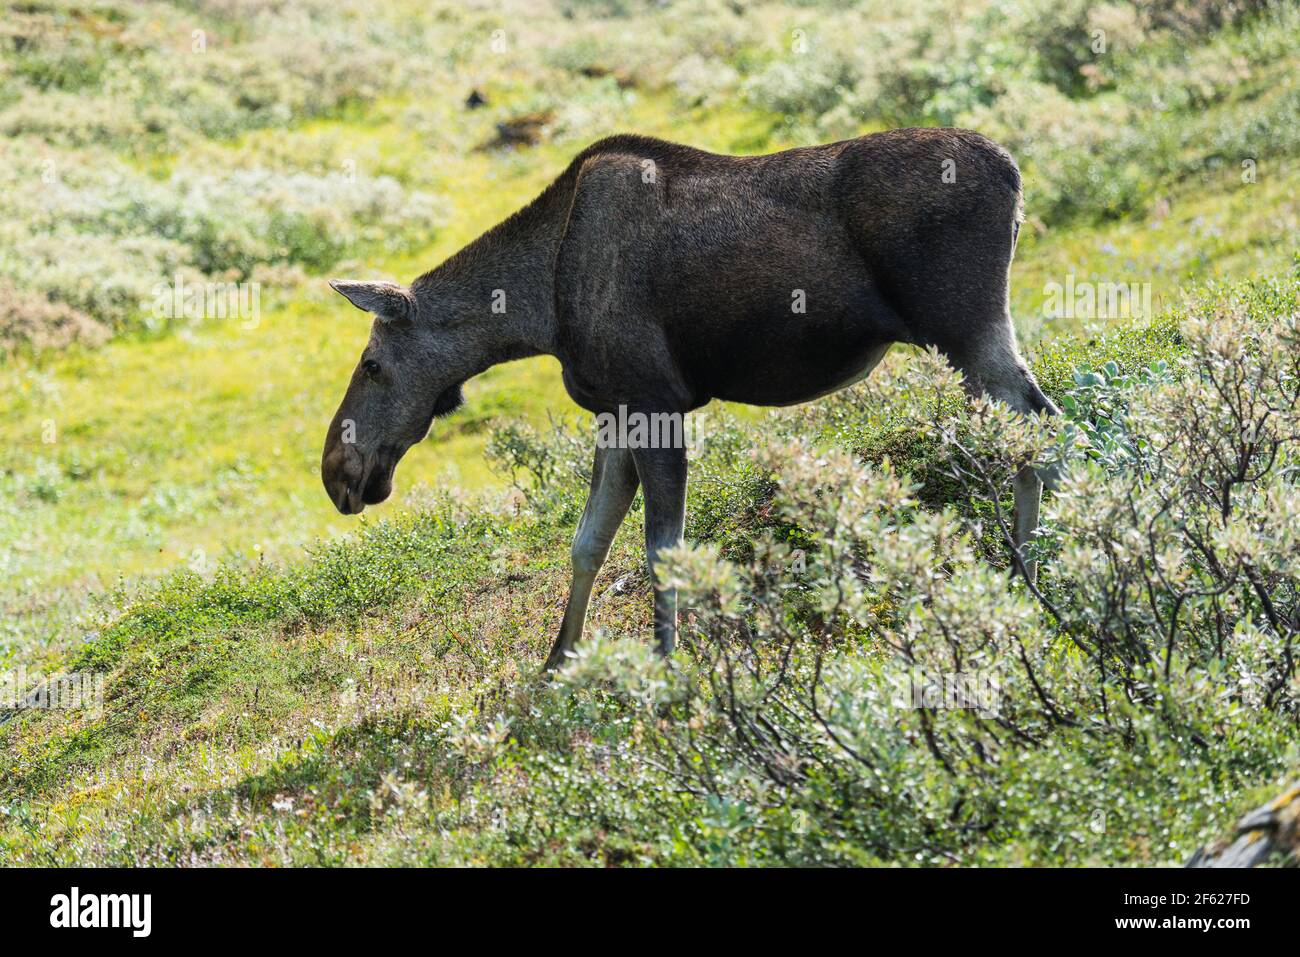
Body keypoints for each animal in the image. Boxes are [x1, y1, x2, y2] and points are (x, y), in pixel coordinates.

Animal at [322, 128, 1055, 670]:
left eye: (372, 364)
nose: (336, 471)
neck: (539, 310)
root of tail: (1015, 173)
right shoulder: (615, 411)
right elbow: (587, 542)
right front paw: (559, 661)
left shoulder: (656, 404)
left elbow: (660, 549)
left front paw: (667, 664)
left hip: (962, 326)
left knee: (1043, 433)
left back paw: (1036, 575)